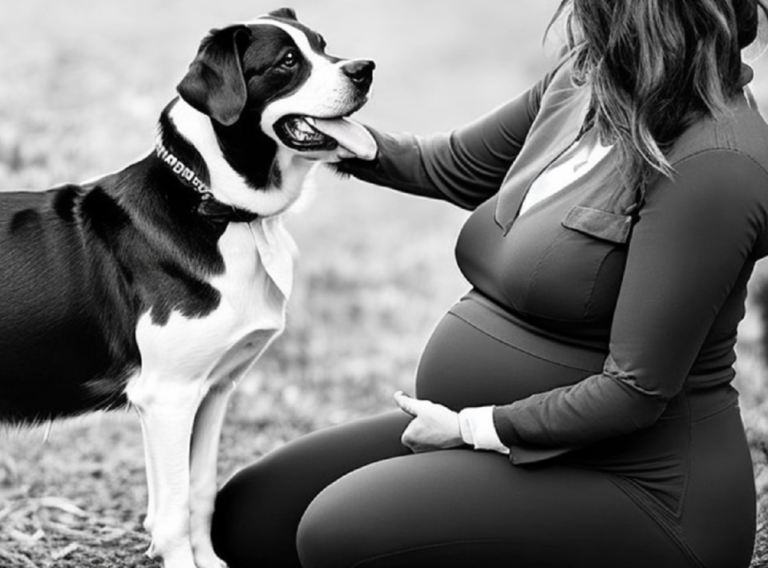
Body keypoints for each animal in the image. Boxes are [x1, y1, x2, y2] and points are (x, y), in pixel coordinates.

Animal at [0, 8, 376, 568]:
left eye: (323, 46)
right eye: (288, 61)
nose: (365, 69)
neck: (221, 210)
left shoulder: (211, 389)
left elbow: (196, 495)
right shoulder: (169, 396)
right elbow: (174, 510)